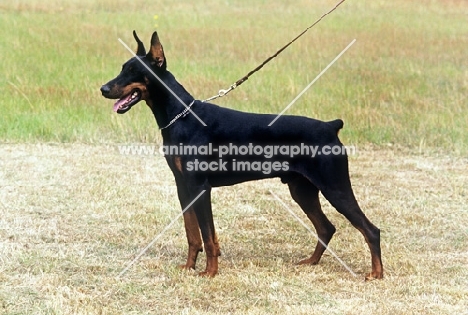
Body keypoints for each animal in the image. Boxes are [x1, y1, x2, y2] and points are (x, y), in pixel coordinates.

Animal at [100, 30, 382, 280]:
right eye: (122, 67)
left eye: (134, 71)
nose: (103, 88)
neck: (181, 116)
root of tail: (331, 126)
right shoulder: (183, 186)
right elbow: (193, 234)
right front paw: (189, 267)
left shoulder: (200, 187)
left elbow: (207, 235)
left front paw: (210, 272)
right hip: (301, 189)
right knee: (326, 227)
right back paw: (310, 262)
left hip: (334, 187)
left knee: (371, 229)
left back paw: (376, 274)